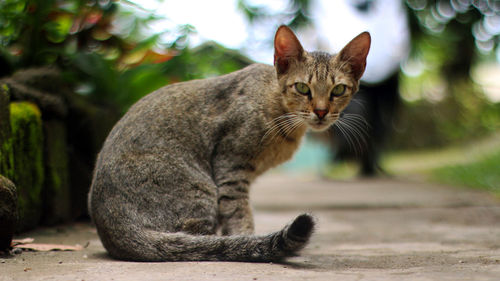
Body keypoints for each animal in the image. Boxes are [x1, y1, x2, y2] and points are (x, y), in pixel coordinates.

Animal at [89, 25, 372, 262]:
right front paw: (247, 239)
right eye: (302, 88)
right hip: (199, 189)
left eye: (338, 90)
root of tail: (115, 228)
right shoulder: (231, 165)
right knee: (195, 243)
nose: (321, 112)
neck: (275, 103)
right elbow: (238, 213)